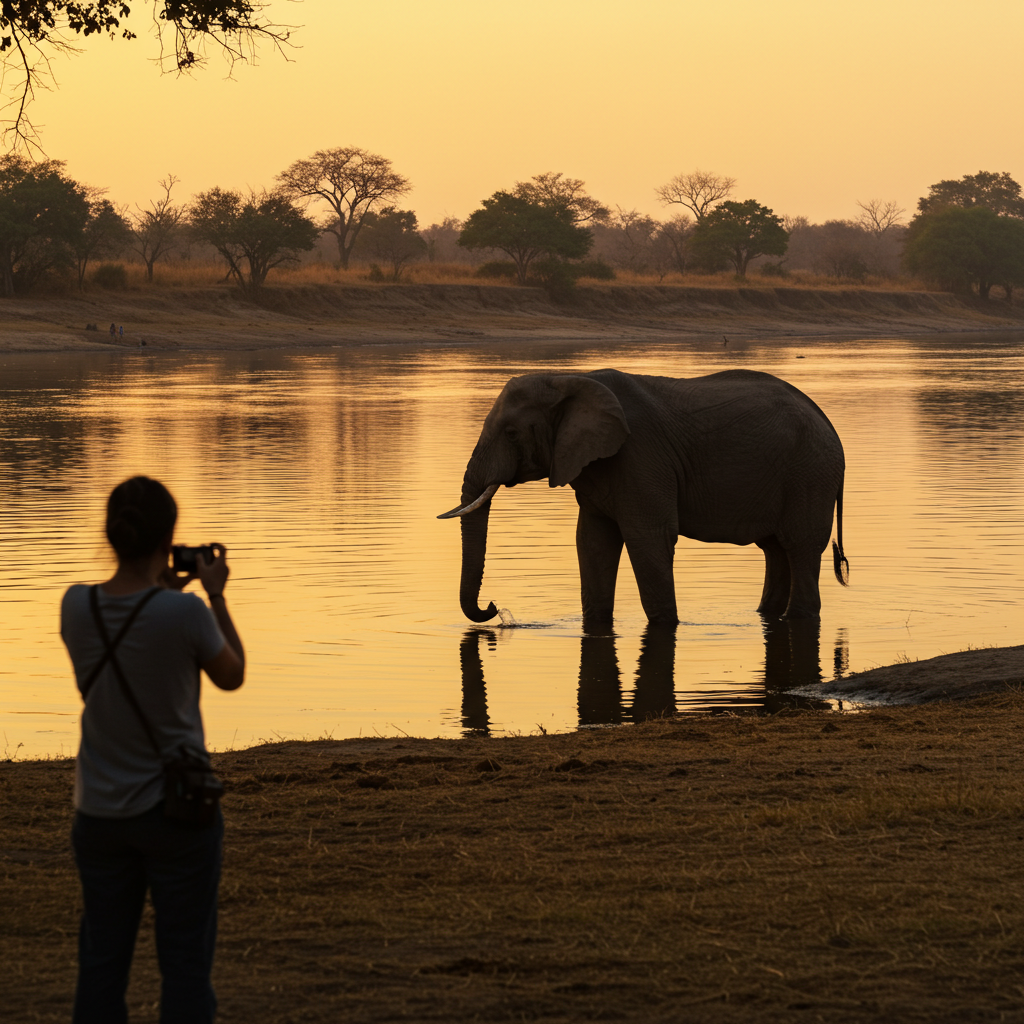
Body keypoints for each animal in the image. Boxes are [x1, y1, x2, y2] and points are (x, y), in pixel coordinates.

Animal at [440, 364, 847, 626]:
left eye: (511, 433)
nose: (494, 608)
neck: (568, 377)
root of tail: (830, 426)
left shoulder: (640, 457)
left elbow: (647, 537)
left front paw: (666, 626)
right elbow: (592, 543)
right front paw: (596, 625)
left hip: (810, 474)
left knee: (800, 546)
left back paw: (796, 619)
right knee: (776, 550)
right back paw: (766, 615)